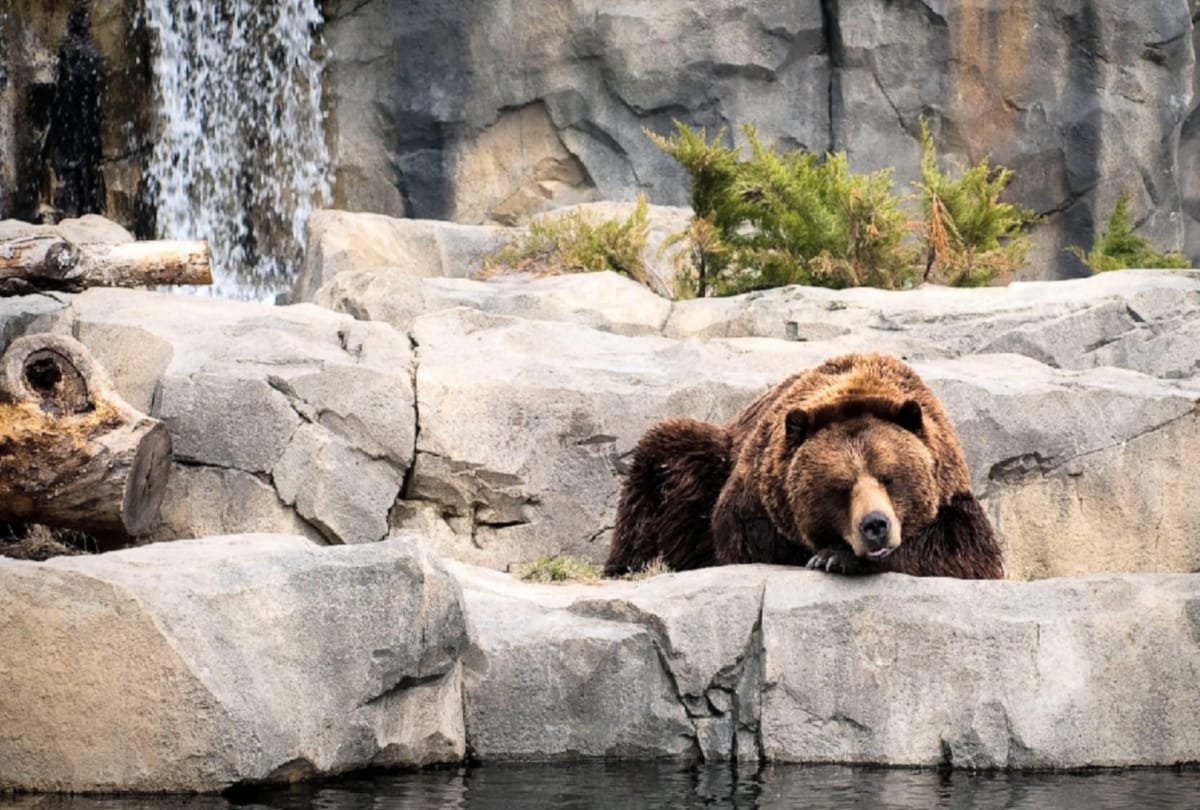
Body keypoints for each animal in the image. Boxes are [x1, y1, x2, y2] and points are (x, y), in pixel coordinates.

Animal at [605, 353, 1002, 579]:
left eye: (889, 477)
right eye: (841, 487)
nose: (875, 525)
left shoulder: (950, 490)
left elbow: (966, 550)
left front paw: (836, 558)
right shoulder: (756, 496)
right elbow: (745, 539)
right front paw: (830, 556)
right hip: (705, 459)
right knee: (661, 466)